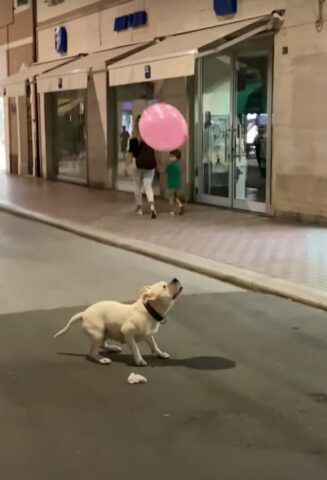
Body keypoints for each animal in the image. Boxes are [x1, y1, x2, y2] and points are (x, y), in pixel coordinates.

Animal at [53, 280, 182, 366]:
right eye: (164, 286)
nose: (176, 279)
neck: (148, 310)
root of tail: (84, 313)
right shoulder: (128, 333)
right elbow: (135, 348)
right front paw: (139, 360)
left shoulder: (148, 335)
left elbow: (154, 345)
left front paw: (160, 353)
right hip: (98, 333)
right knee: (92, 352)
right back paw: (101, 359)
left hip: (105, 332)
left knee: (102, 345)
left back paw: (113, 348)